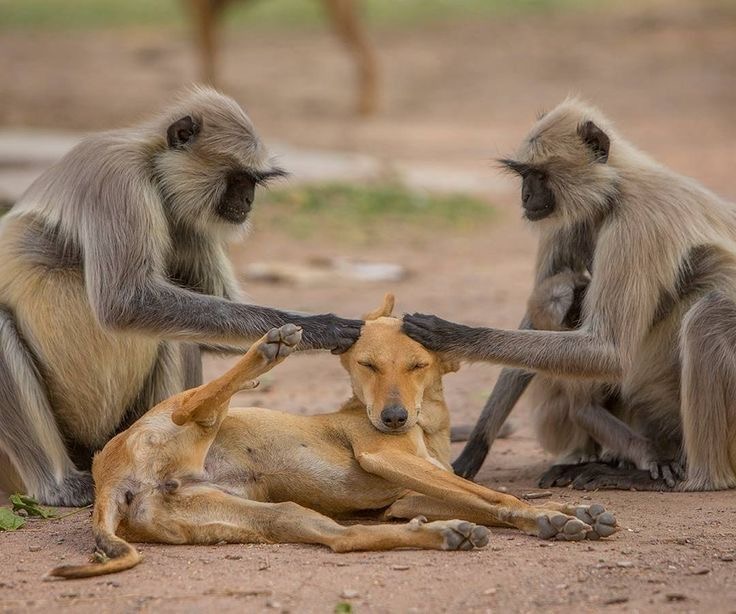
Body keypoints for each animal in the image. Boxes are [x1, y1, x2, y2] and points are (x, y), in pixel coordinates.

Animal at [0, 87, 362, 506]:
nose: (248, 202)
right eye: (238, 179)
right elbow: (126, 303)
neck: (153, 169)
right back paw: (58, 483)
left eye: (253, 182)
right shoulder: (117, 175)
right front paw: (320, 326)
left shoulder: (188, 219)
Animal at [405, 97, 736, 491]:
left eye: (539, 176)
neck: (615, 191)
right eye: (523, 175)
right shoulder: (575, 220)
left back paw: (693, 478)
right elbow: (535, 320)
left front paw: (454, 336)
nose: (525, 196)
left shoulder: (638, 223)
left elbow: (610, 349)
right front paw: (474, 449)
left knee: (707, 315)